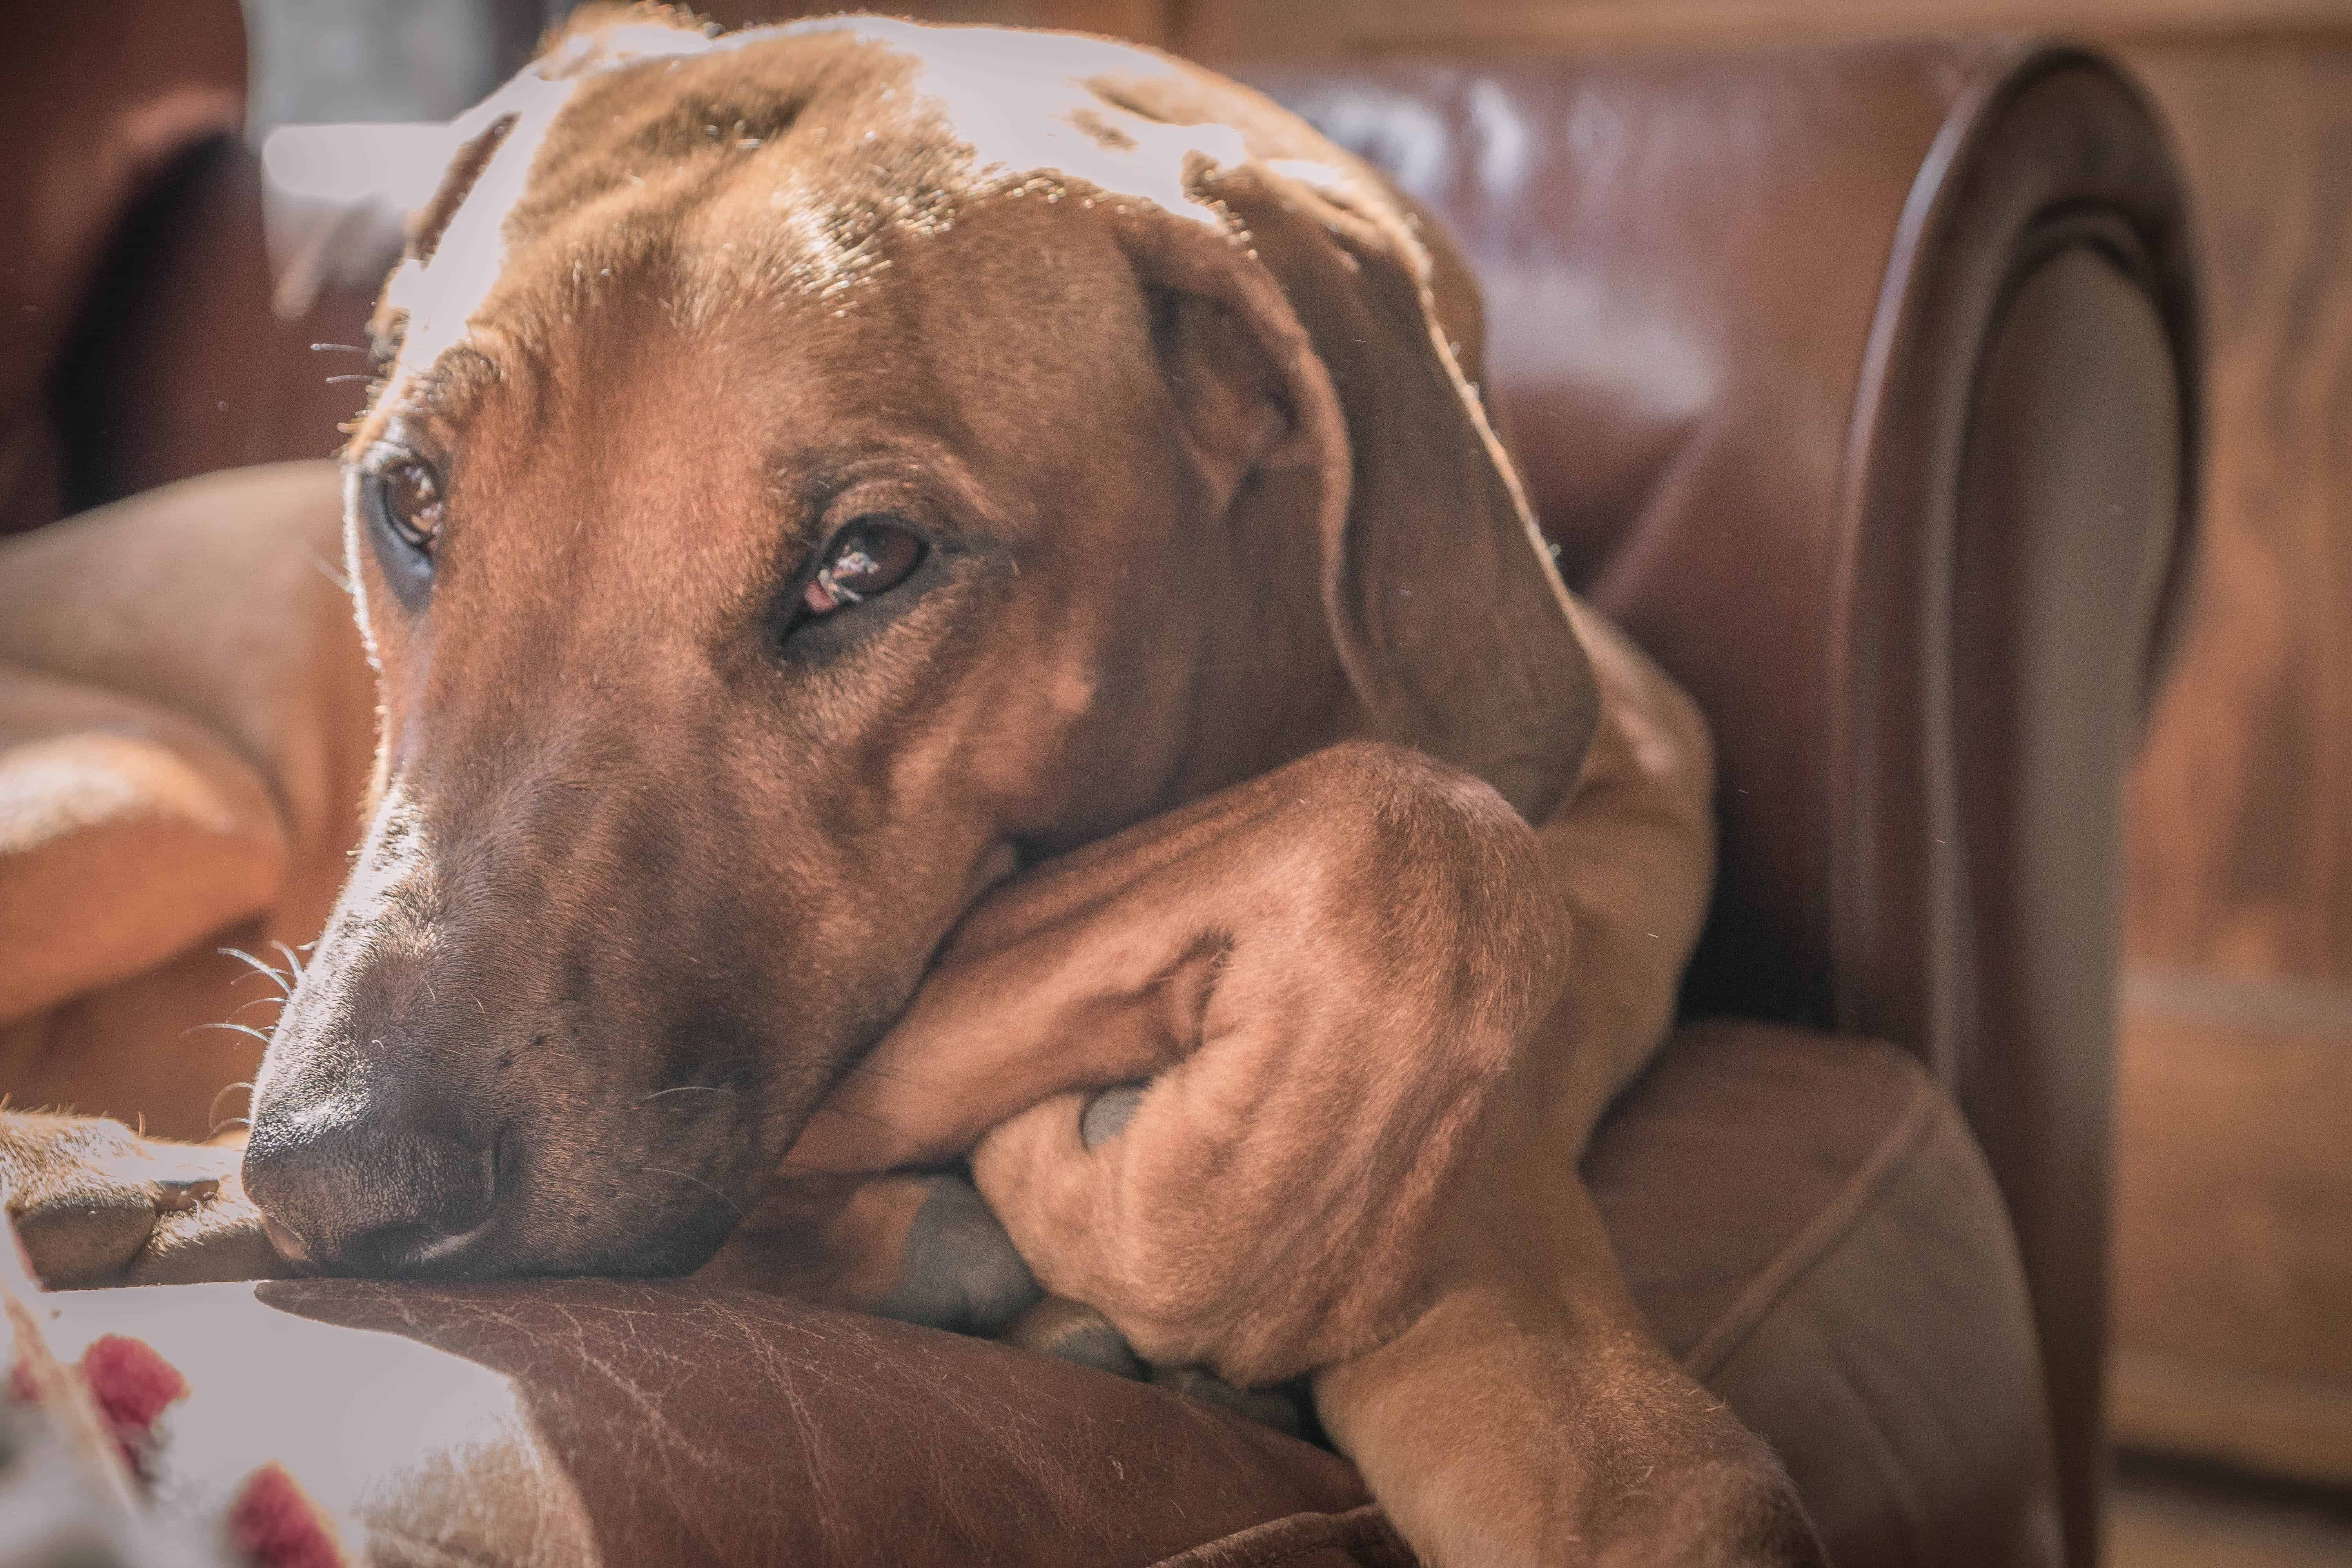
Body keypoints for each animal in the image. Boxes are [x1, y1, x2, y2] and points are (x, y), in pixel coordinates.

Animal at [0, 15, 1825, 1568]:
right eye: (411, 501)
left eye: (868, 561)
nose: (340, 1172)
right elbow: (1402, 835)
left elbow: (1440, 852)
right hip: (162, 798)